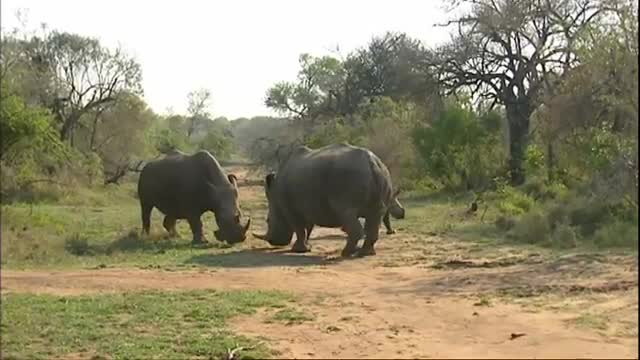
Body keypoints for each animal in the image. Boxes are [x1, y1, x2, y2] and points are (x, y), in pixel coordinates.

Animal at [251, 142, 404, 258]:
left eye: (268, 221)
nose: (274, 242)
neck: (274, 193)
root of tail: (371, 162)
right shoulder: (308, 204)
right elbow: (307, 228)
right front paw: (307, 247)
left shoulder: (290, 208)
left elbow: (299, 227)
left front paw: (298, 250)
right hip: (383, 174)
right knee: (376, 214)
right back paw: (365, 254)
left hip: (347, 179)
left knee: (347, 213)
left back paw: (346, 253)